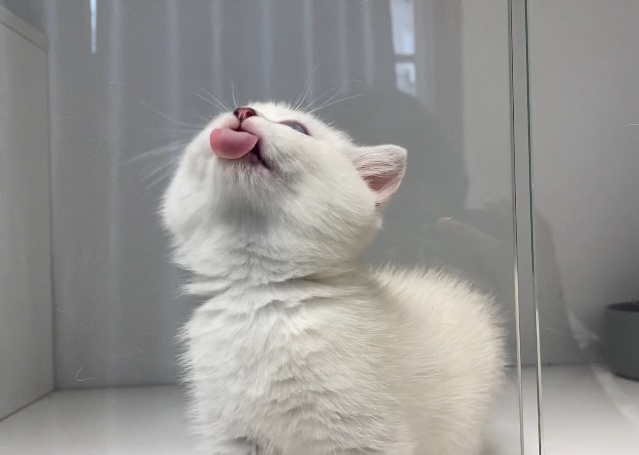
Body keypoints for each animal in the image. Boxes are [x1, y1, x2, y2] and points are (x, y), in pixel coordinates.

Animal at [161, 102, 506, 455]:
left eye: (297, 128)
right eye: (220, 118)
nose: (242, 111)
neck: (262, 296)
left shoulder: (365, 435)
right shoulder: (232, 435)